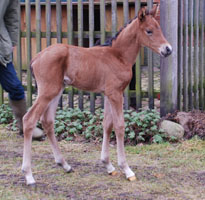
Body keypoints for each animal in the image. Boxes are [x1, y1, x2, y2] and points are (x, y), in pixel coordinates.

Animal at [22, 5, 173, 185]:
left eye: (159, 28)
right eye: (149, 31)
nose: (168, 49)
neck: (118, 56)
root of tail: (35, 58)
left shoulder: (108, 94)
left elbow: (107, 125)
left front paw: (108, 165)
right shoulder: (116, 94)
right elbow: (119, 126)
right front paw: (126, 169)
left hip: (56, 91)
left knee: (48, 121)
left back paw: (65, 165)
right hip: (47, 92)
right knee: (29, 119)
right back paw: (29, 175)